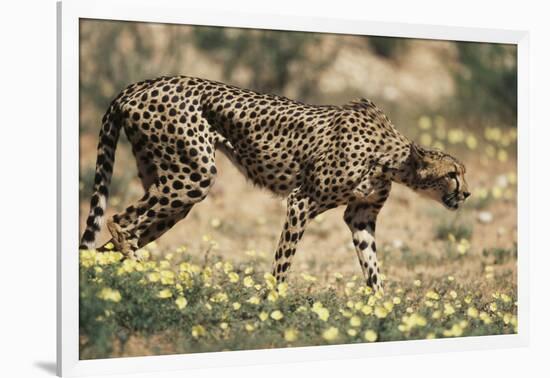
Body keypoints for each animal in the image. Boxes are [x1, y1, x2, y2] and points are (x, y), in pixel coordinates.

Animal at [80, 75, 472, 290]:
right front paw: (274, 304)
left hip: (171, 184)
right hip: (193, 176)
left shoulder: (360, 217)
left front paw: (382, 313)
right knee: (118, 222)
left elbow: (373, 270)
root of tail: (139, 85)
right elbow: (284, 261)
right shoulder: (301, 201)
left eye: (463, 173)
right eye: (452, 174)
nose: (467, 193)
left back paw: (120, 285)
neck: (391, 157)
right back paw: (135, 271)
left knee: (110, 243)